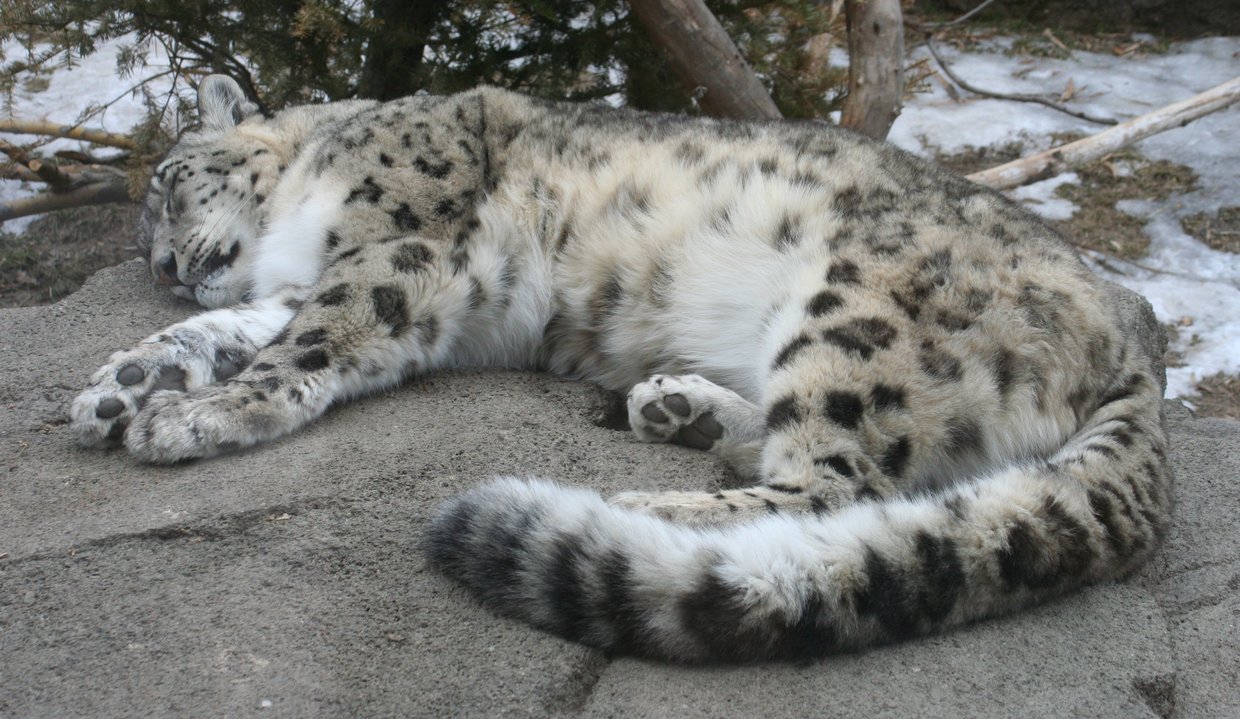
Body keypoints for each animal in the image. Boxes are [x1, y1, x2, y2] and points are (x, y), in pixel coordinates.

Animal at [69, 75, 1172, 662]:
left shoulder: (397, 249)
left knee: (836, 483)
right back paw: (681, 407)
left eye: (166, 182)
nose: (163, 267)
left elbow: (305, 341)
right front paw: (119, 385)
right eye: (147, 224)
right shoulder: (310, 281)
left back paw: (649, 503)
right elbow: (238, 327)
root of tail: (1140, 333)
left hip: (859, 315)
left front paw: (193, 416)